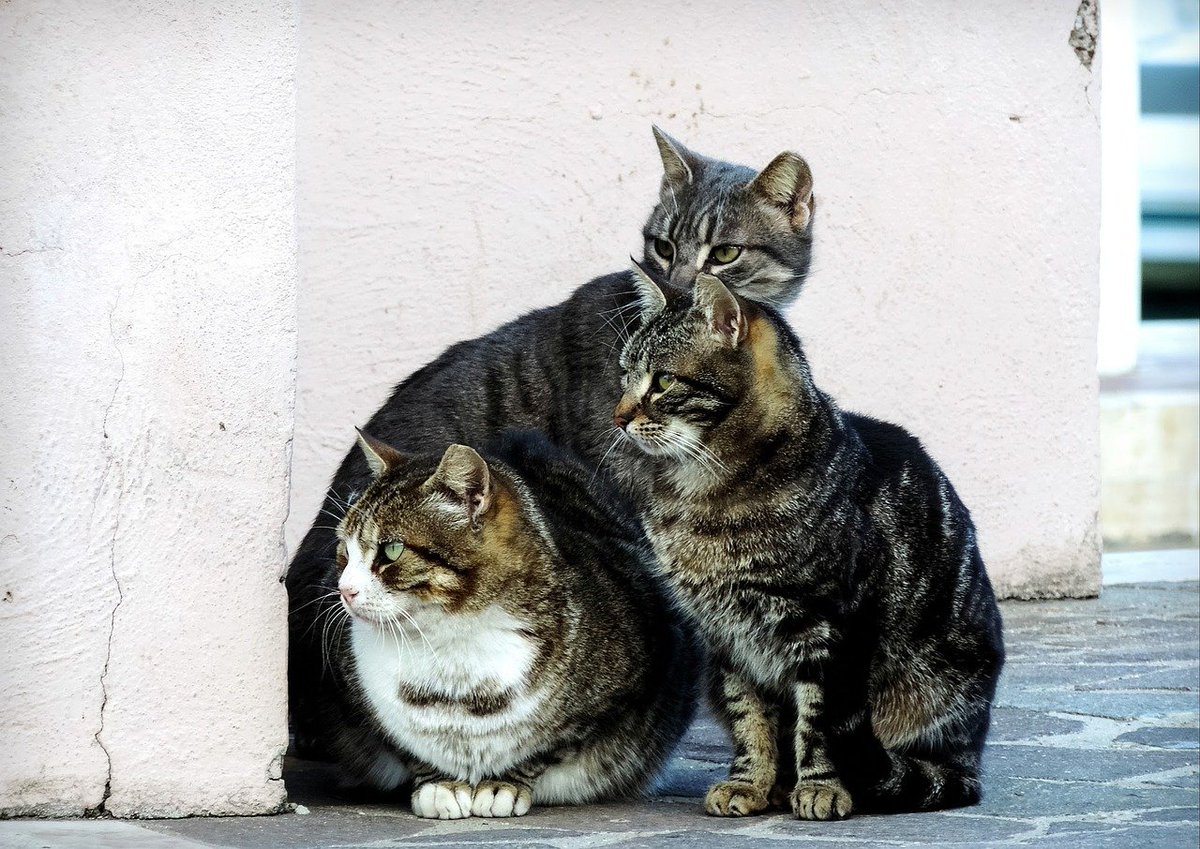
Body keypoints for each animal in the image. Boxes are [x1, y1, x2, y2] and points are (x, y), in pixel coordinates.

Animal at [319, 431, 700, 815]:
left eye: (392, 550)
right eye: (344, 551)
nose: (344, 590)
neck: (450, 640)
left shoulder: (619, 696)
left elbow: (546, 747)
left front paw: (503, 784)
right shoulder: (351, 692)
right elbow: (406, 745)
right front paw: (440, 784)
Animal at [609, 267, 1003, 820]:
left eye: (662, 381)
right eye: (625, 376)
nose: (618, 416)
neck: (704, 494)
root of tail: (973, 759)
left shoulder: (830, 627)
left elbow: (817, 722)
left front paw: (820, 786)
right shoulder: (728, 638)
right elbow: (751, 718)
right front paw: (751, 782)